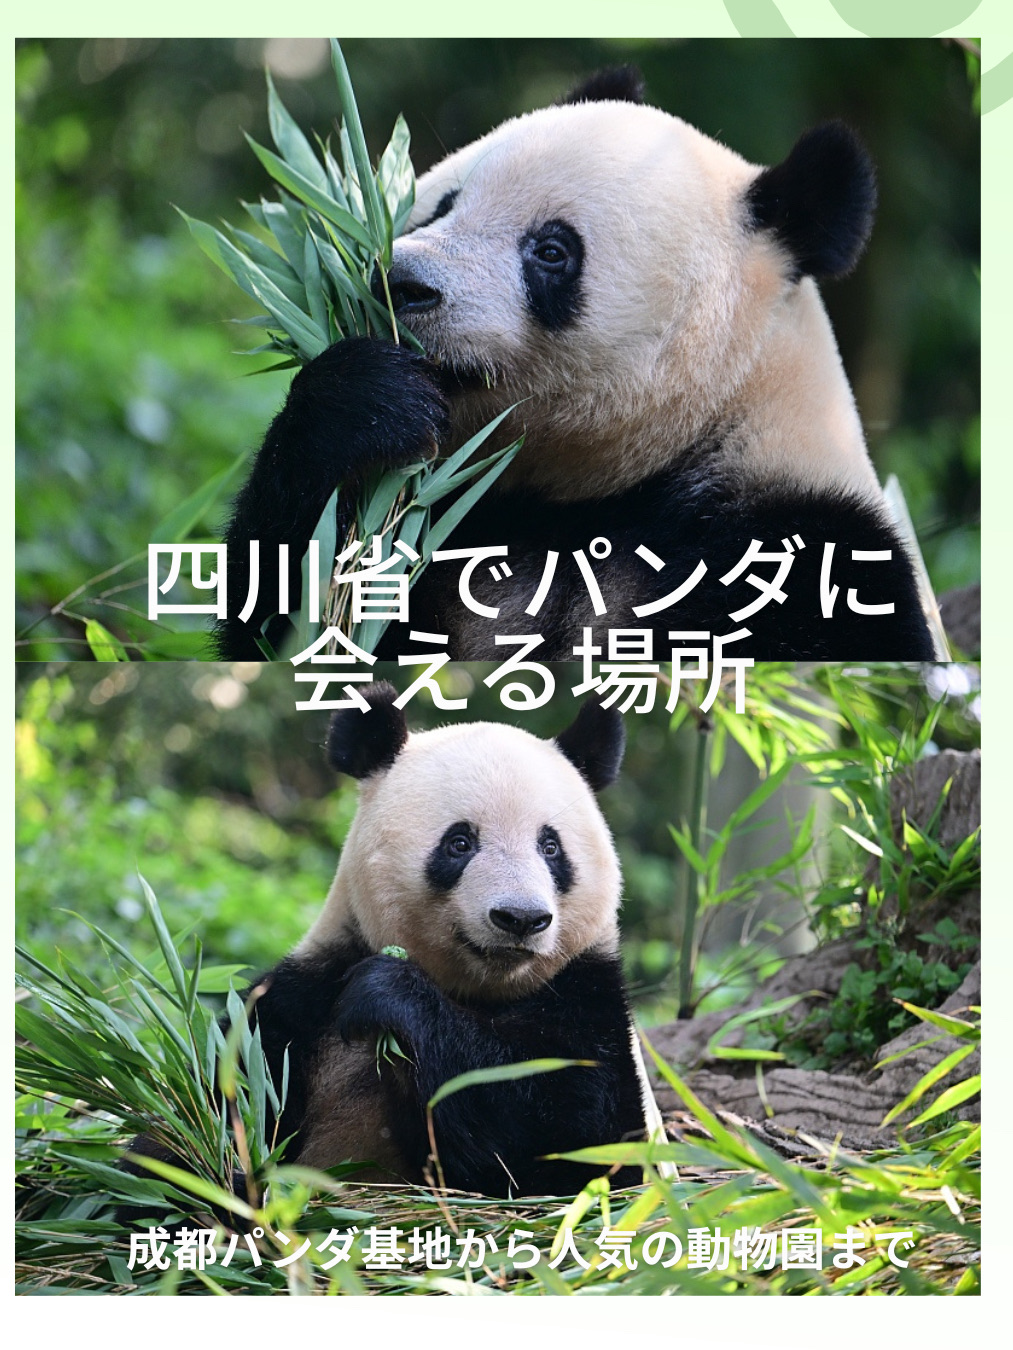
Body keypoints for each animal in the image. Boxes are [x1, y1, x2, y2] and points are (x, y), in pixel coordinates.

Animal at [215, 683, 647, 1198]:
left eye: (550, 847)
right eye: (459, 843)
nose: (520, 918)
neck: (482, 991)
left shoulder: (588, 996)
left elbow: (576, 1141)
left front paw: (387, 992)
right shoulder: (303, 1002)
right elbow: (228, 1094)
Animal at [217, 66, 934, 662]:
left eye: (552, 251)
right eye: (442, 205)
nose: (399, 285)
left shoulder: (805, 556)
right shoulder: (461, 526)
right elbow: (274, 616)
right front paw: (366, 403)